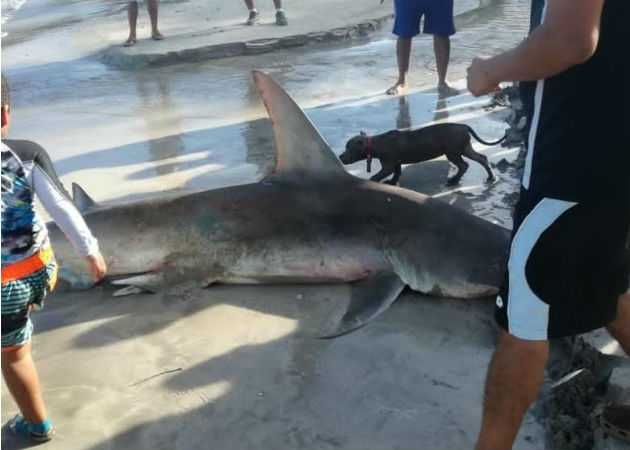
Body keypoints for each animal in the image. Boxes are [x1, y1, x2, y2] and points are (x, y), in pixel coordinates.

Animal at [338, 123, 506, 186]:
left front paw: (373, 182)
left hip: (452, 152)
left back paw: (453, 180)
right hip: (464, 148)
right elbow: (397, 173)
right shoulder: (396, 163)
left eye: (348, 149)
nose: (340, 157)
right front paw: (392, 183)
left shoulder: (388, 165)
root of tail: (463, 126)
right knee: (481, 159)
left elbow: (378, 175)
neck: (375, 143)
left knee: (463, 165)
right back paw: (491, 178)